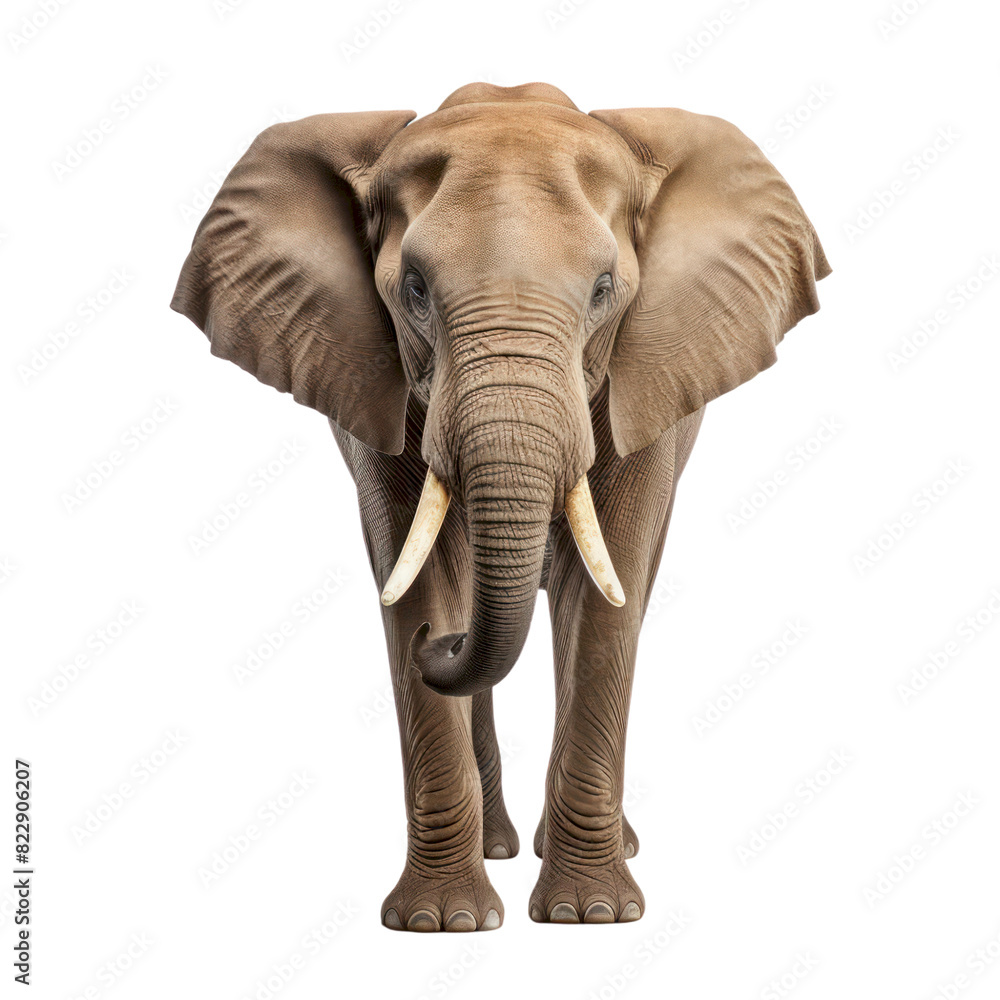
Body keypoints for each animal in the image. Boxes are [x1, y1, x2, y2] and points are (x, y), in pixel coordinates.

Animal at [171, 81, 829, 932]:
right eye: (414, 290)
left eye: (604, 289)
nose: (439, 645)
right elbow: (417, 572)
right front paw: (442, 922)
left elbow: (607, 599)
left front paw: (591, 914)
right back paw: (498, 847)